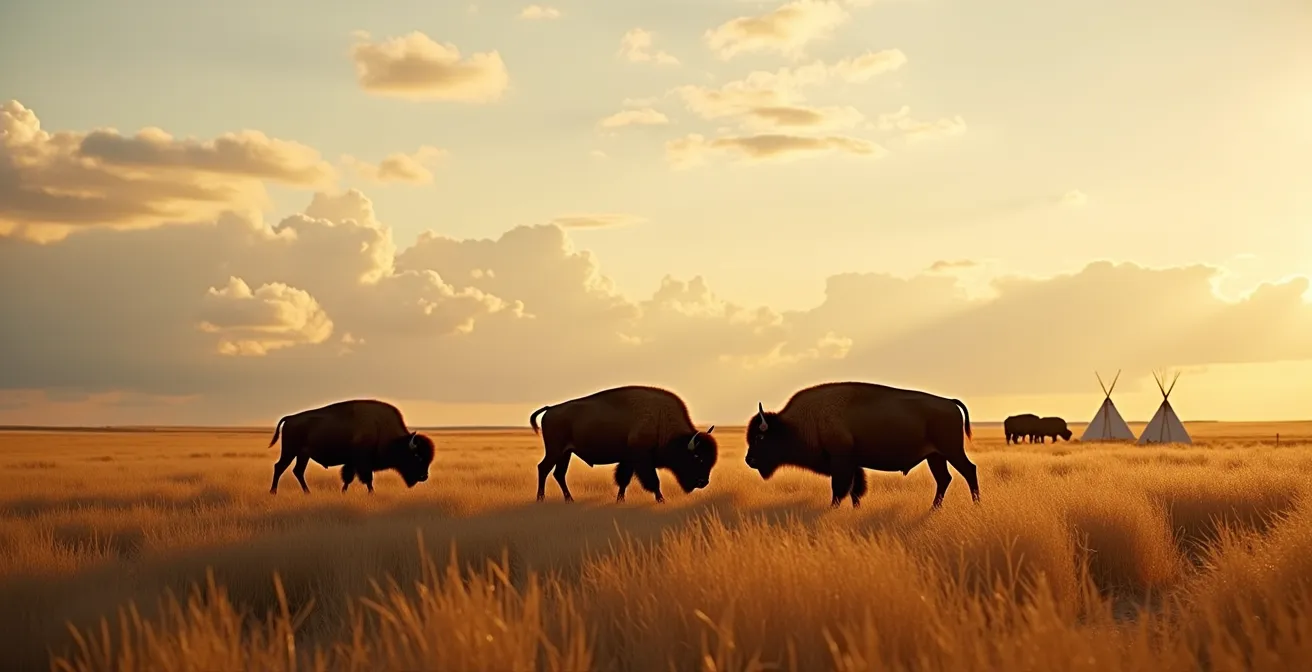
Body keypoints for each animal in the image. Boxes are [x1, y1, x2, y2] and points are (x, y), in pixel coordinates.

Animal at [266, 399, 436, 494]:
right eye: (417, 456)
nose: (424, 476)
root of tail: (290, 418)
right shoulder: (363, 463)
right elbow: (367, 479)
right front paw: (372, 493)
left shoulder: (352, 463)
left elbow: (348, 478)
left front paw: (343, 492)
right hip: (290, 452)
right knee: (279, 467)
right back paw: (273, 492)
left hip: (303, 455)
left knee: (298, 471)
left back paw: (307, 493)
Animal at [529, 385, 719, 503]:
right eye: (697, 457)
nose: (703, 482)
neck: (660, 419)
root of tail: (550, 409)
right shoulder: (642, 460)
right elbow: (653, 481)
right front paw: (661, 500)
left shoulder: (628, 460)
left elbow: (624, 480)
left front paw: (620, 500)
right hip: (555, 451)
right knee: (543, 468)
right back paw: (541, 498)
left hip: (565, 453)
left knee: (559, 474)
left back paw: (570, 500)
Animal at [745, 381, 980, 509]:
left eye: (760, 438)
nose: (749, 460)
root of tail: (949, 402)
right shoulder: (854, 465)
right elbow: (855, 490)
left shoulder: (841, 462)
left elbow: (840, 489)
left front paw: (833, 508)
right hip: (935, 456)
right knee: (944, 479)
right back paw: (933, 509)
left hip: (951, 451)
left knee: (969, 470)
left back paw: (976, 504)